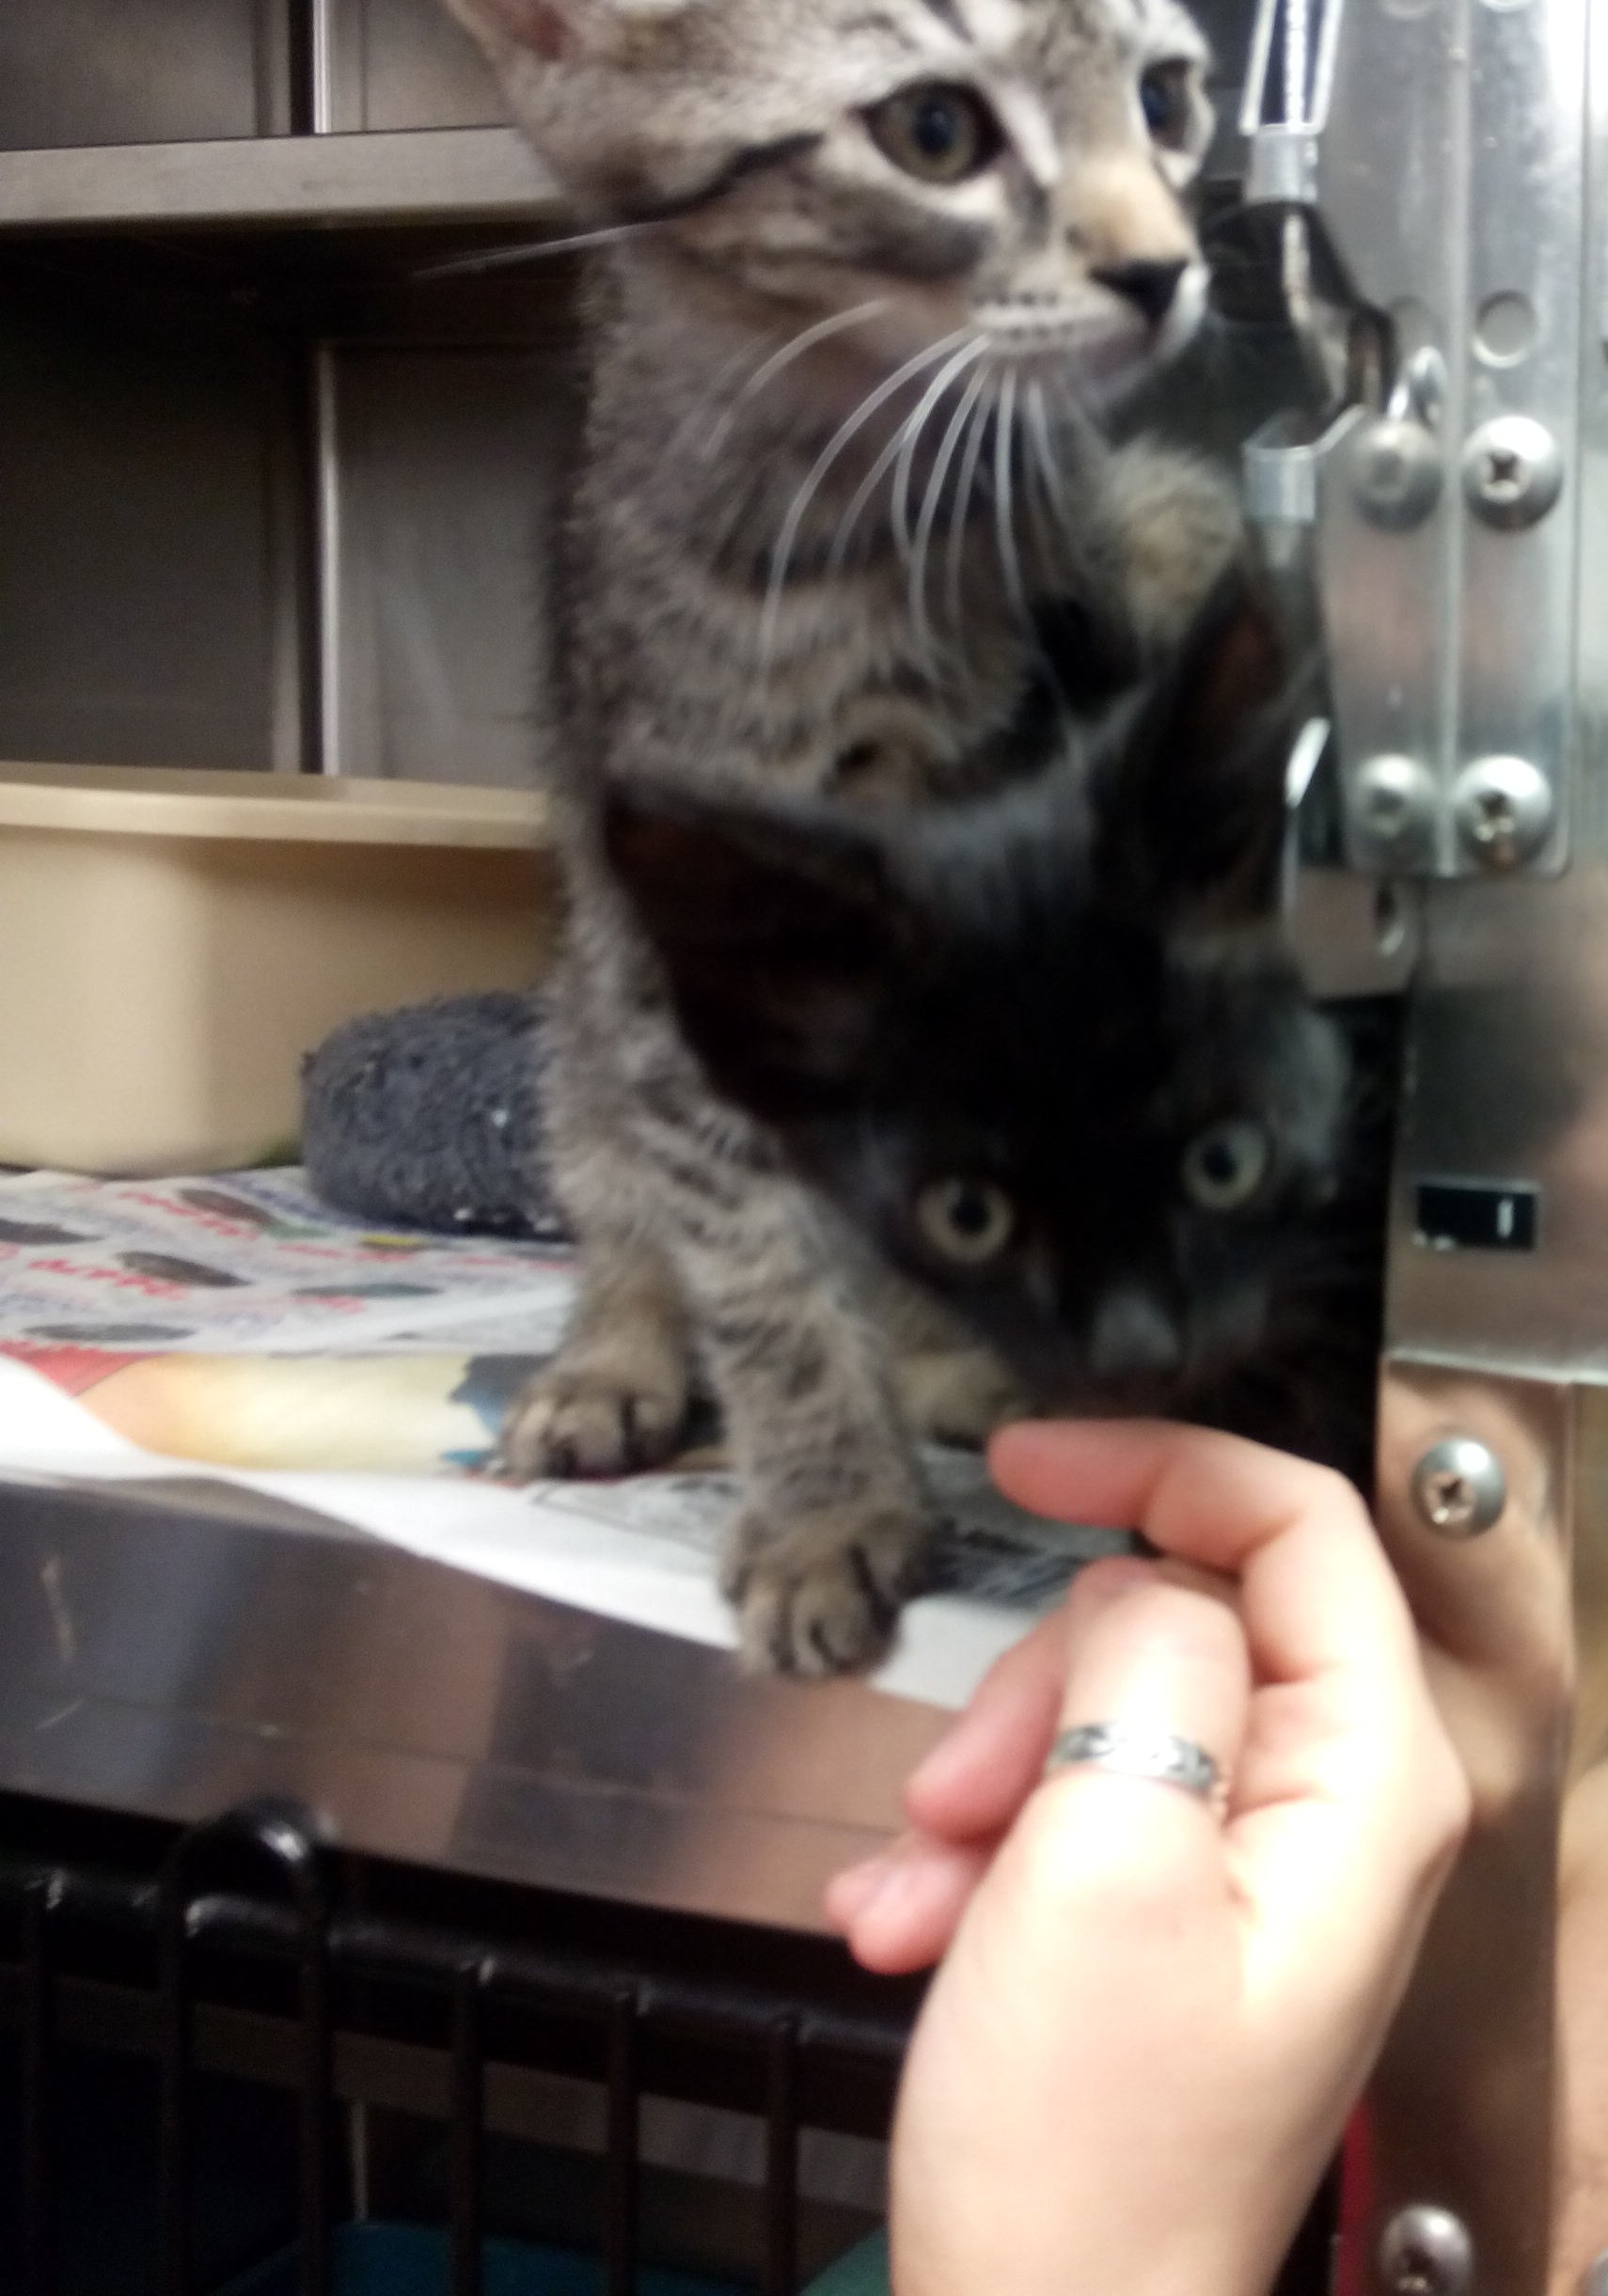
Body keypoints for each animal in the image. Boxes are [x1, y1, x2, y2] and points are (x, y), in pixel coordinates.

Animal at [440, 0, 1246, 1672]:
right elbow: (748, 1247)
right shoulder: (681, 939)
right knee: (612, 1172)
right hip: (584, 996)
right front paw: (823, 1504)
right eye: (933, 133)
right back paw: (610, 1352)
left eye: (1163, 100)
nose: (1163, 266)